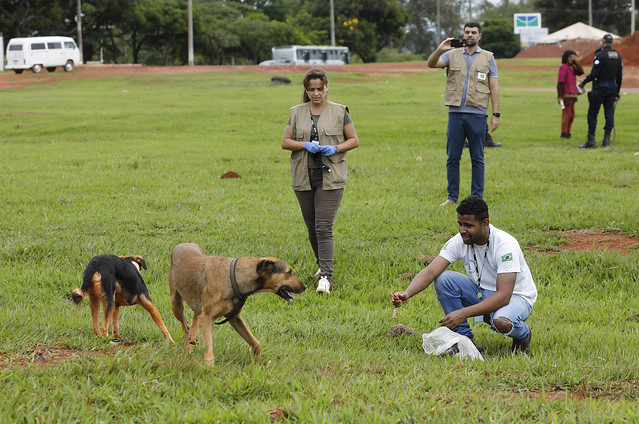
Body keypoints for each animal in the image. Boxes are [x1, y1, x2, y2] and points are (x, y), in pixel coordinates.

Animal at [169, 242, 306, 364]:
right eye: (289, 272)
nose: (305, 286)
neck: (234, 277)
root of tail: (182, 244)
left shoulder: (234, 317)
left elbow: (256, 343)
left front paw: (259, 360)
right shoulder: (208, 318)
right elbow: (208, 347)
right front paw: (209, 366)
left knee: (196, 312)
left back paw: (193, 333)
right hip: (175, 304)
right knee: (184, 324)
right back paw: (188, 347)